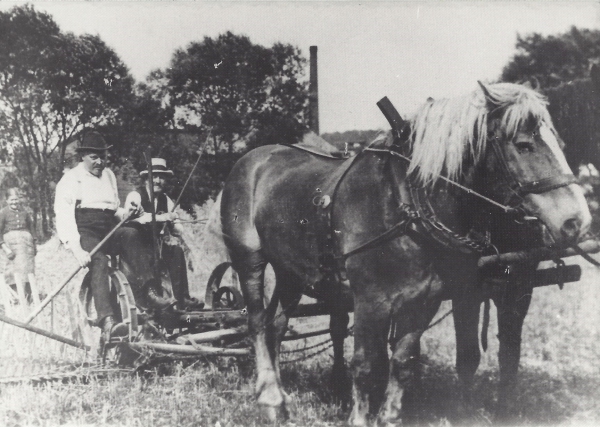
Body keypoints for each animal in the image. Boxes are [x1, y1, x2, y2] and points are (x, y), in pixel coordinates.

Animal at [220, 82, 592, 426]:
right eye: (524, 145)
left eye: (560, 145)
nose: (577, 221)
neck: (405, 206)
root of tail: (253, 157)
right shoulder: (370, 302)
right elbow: (366, 366)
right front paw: (360, 417)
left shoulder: (425, 300)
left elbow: (403, 361)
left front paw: (390, 416)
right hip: (249, 259)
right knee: (257, 322)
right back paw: (269, 398)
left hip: (291, 271)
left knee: (278, 324)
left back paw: (281, 397)